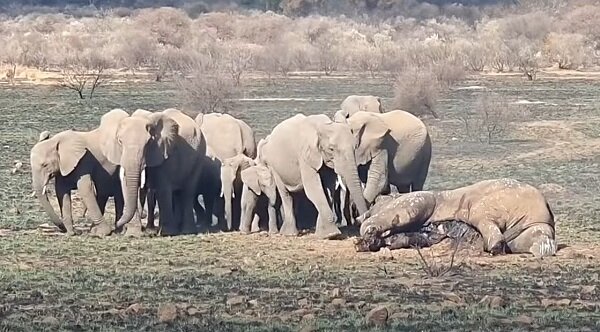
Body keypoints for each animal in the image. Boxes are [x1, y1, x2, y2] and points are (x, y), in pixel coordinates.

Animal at [109, 107, 207, 235]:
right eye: (120, 141)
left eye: (148, 143)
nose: (116, 225)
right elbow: (130, 188)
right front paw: (133, 234)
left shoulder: (164, 152)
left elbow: (163, 188)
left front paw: (166, 233)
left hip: (199, 156)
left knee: (188, 191)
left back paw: (186, 231)